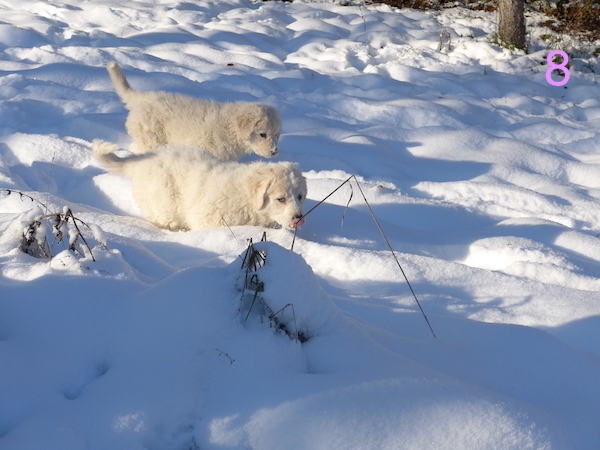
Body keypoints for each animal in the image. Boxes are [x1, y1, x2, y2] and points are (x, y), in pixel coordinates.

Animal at [92, 140, 310, 232]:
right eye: (280, 199)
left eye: (300, 196)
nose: (298, 218)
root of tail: (142, 160)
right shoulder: (209, 219)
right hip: (164, 204)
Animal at [106, 60, 282, 161]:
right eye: (262, 134)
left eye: (276, 135)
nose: (274, 152)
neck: (230, 128)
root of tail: (141, 98)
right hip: (152, 138)